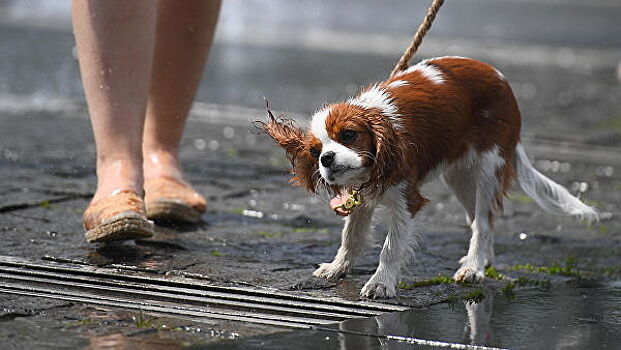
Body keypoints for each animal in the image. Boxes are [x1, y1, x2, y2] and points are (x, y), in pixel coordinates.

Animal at [260, 55, 596, 298]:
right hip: (459, 177)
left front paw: (381, 284)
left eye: (349, 135)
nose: (327, 159)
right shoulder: (361, 195)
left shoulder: (407, 199)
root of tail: (499, 77)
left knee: (483, 222)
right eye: (315, 151)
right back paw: (482, 261)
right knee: (481, 220)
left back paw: (474, 268)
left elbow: (390, 247)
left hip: (488, 168)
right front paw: (337, 267)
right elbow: (351, 235)